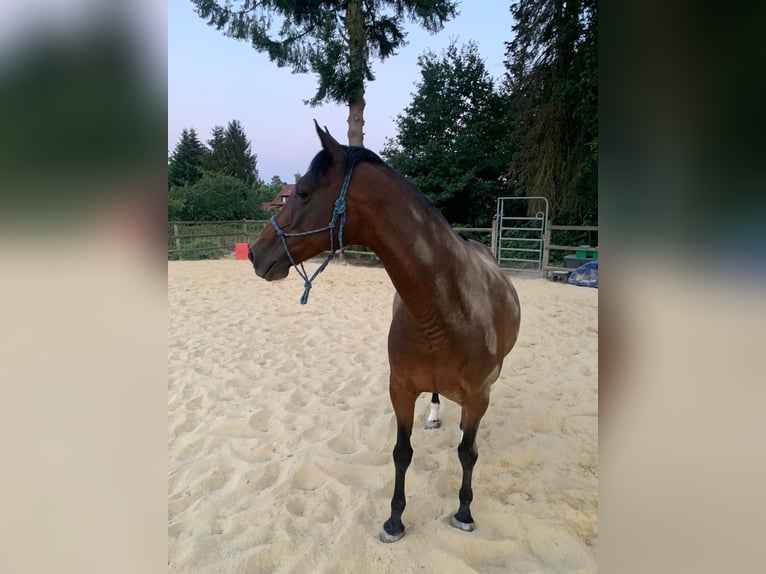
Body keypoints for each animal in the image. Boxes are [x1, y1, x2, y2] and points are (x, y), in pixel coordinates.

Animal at [248, 121, 521, 542]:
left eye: (303, 192)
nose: (254, 253)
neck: (444, 312)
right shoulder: (401, 390)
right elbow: (401, 453)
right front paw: (394, 519)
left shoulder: (478, 395)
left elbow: (467, 454)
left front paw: (463, 511)